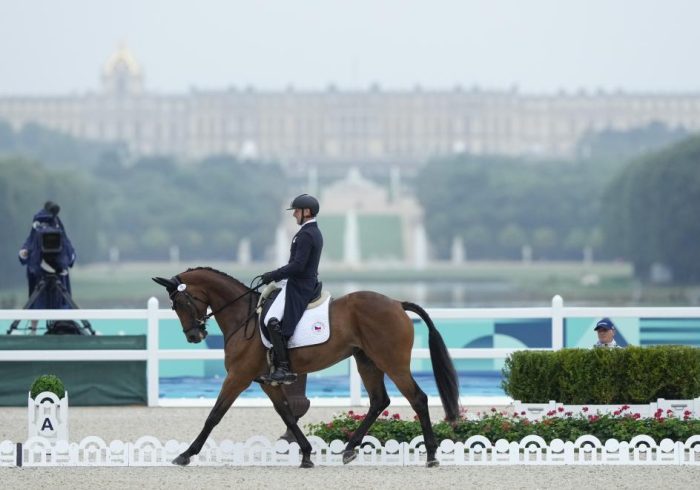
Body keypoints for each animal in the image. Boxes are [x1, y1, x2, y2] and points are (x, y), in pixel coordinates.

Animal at [152, 268, 460, 468]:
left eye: (179, 302)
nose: (194, 336)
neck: (244, 317)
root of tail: (397, 303)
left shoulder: (238, 376)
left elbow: (214, 415)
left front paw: (186, 454)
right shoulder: (266, 381)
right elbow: (287, 414)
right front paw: (307, 455)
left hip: (391, 361)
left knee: (417, 398)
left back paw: (431, 456)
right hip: (367, 361)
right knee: (378, 401)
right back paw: (349, 450)